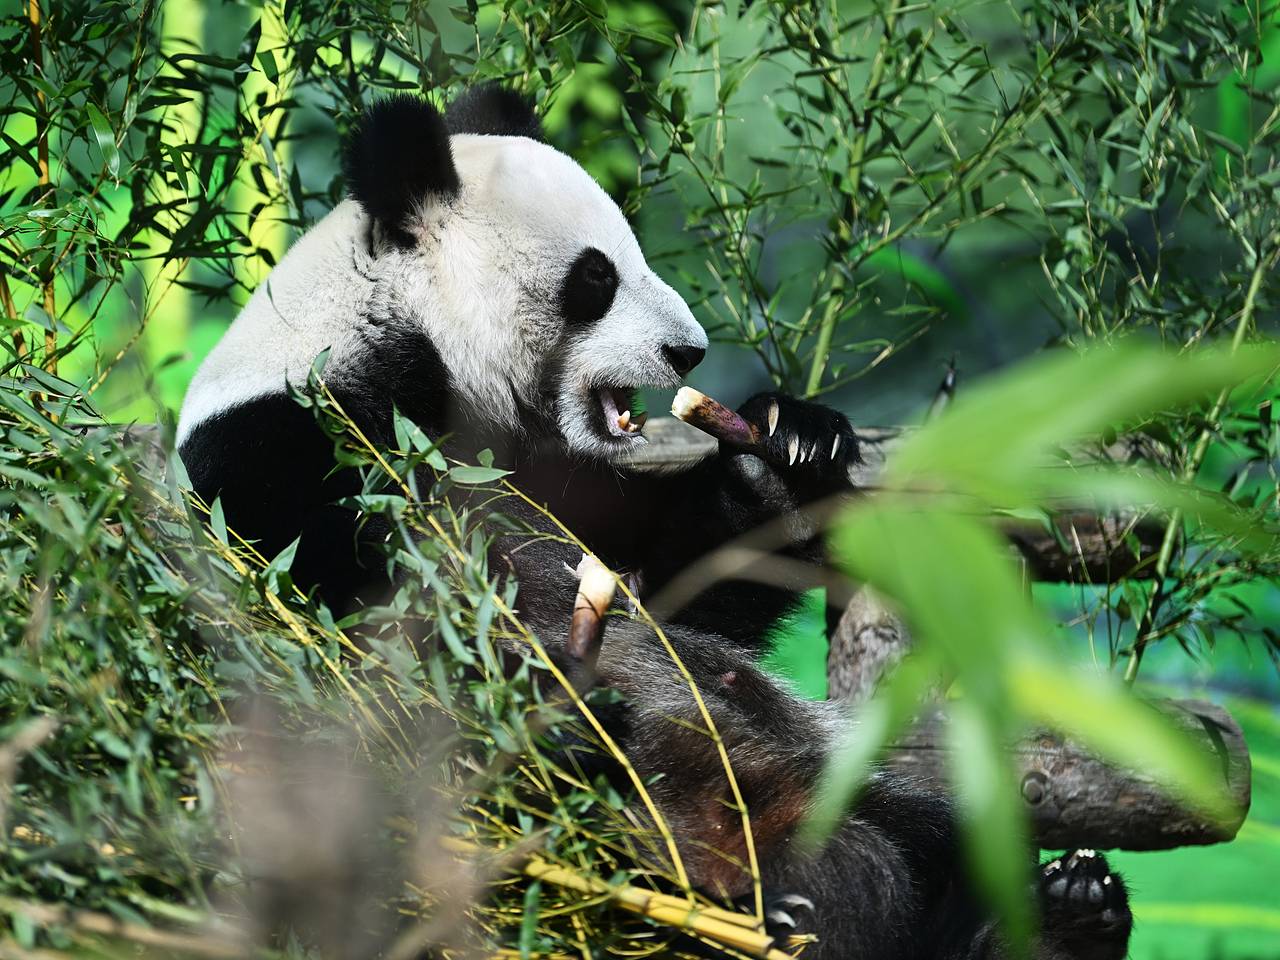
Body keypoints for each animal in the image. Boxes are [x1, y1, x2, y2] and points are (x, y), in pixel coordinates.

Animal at [177, 84, 1131, 960]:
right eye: (596, 277)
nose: (689, 351)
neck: (410, 348)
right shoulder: (285, 450)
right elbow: (348, 641)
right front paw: (546, 701)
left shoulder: (556, 478)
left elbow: (679, 594)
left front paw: (787, 452)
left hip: (834, 779)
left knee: (944, 847)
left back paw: (1061, 913)